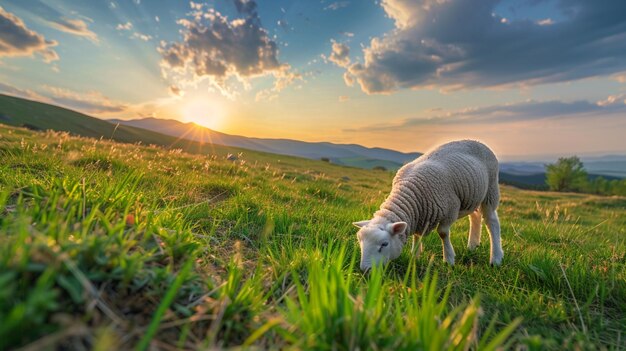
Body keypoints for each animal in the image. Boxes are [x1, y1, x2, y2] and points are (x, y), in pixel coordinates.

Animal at [352, 140, 502, 272]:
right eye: (360, 242)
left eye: (384, 244)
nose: (365, 270)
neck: (410, 192)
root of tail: (478, 142)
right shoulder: (419, 215)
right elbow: (416, 235)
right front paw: (415, 256)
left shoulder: (450, 209)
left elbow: (443, 233)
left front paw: (449, 260)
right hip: (473, 195)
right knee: (475, 217)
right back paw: (472, 245)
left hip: (491, 189)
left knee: (492, 221)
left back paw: (496, 258)